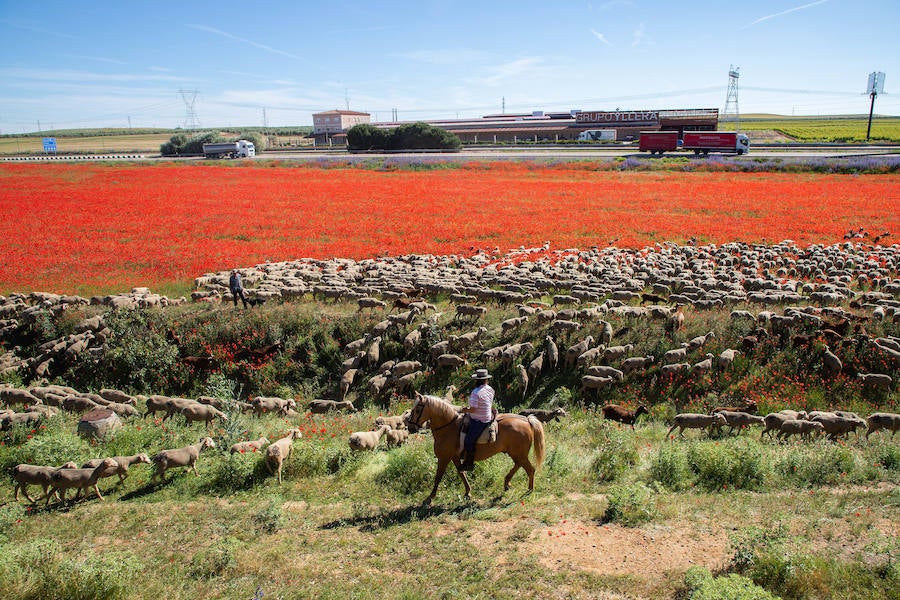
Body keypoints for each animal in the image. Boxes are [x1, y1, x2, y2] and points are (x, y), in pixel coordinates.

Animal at [406, 396, 544, 504]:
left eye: (417, 409)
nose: (410, 427)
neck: (448, 427)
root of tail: (527, 421)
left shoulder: (444, 458)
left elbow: (438, 477)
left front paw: (430, 497)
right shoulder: (454, 457)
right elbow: (462, 473)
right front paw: (468, 492)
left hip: (519, 454)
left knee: (530, 469)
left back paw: (529, 490)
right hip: (516, 454)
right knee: (519, 465)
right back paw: (507, 483)